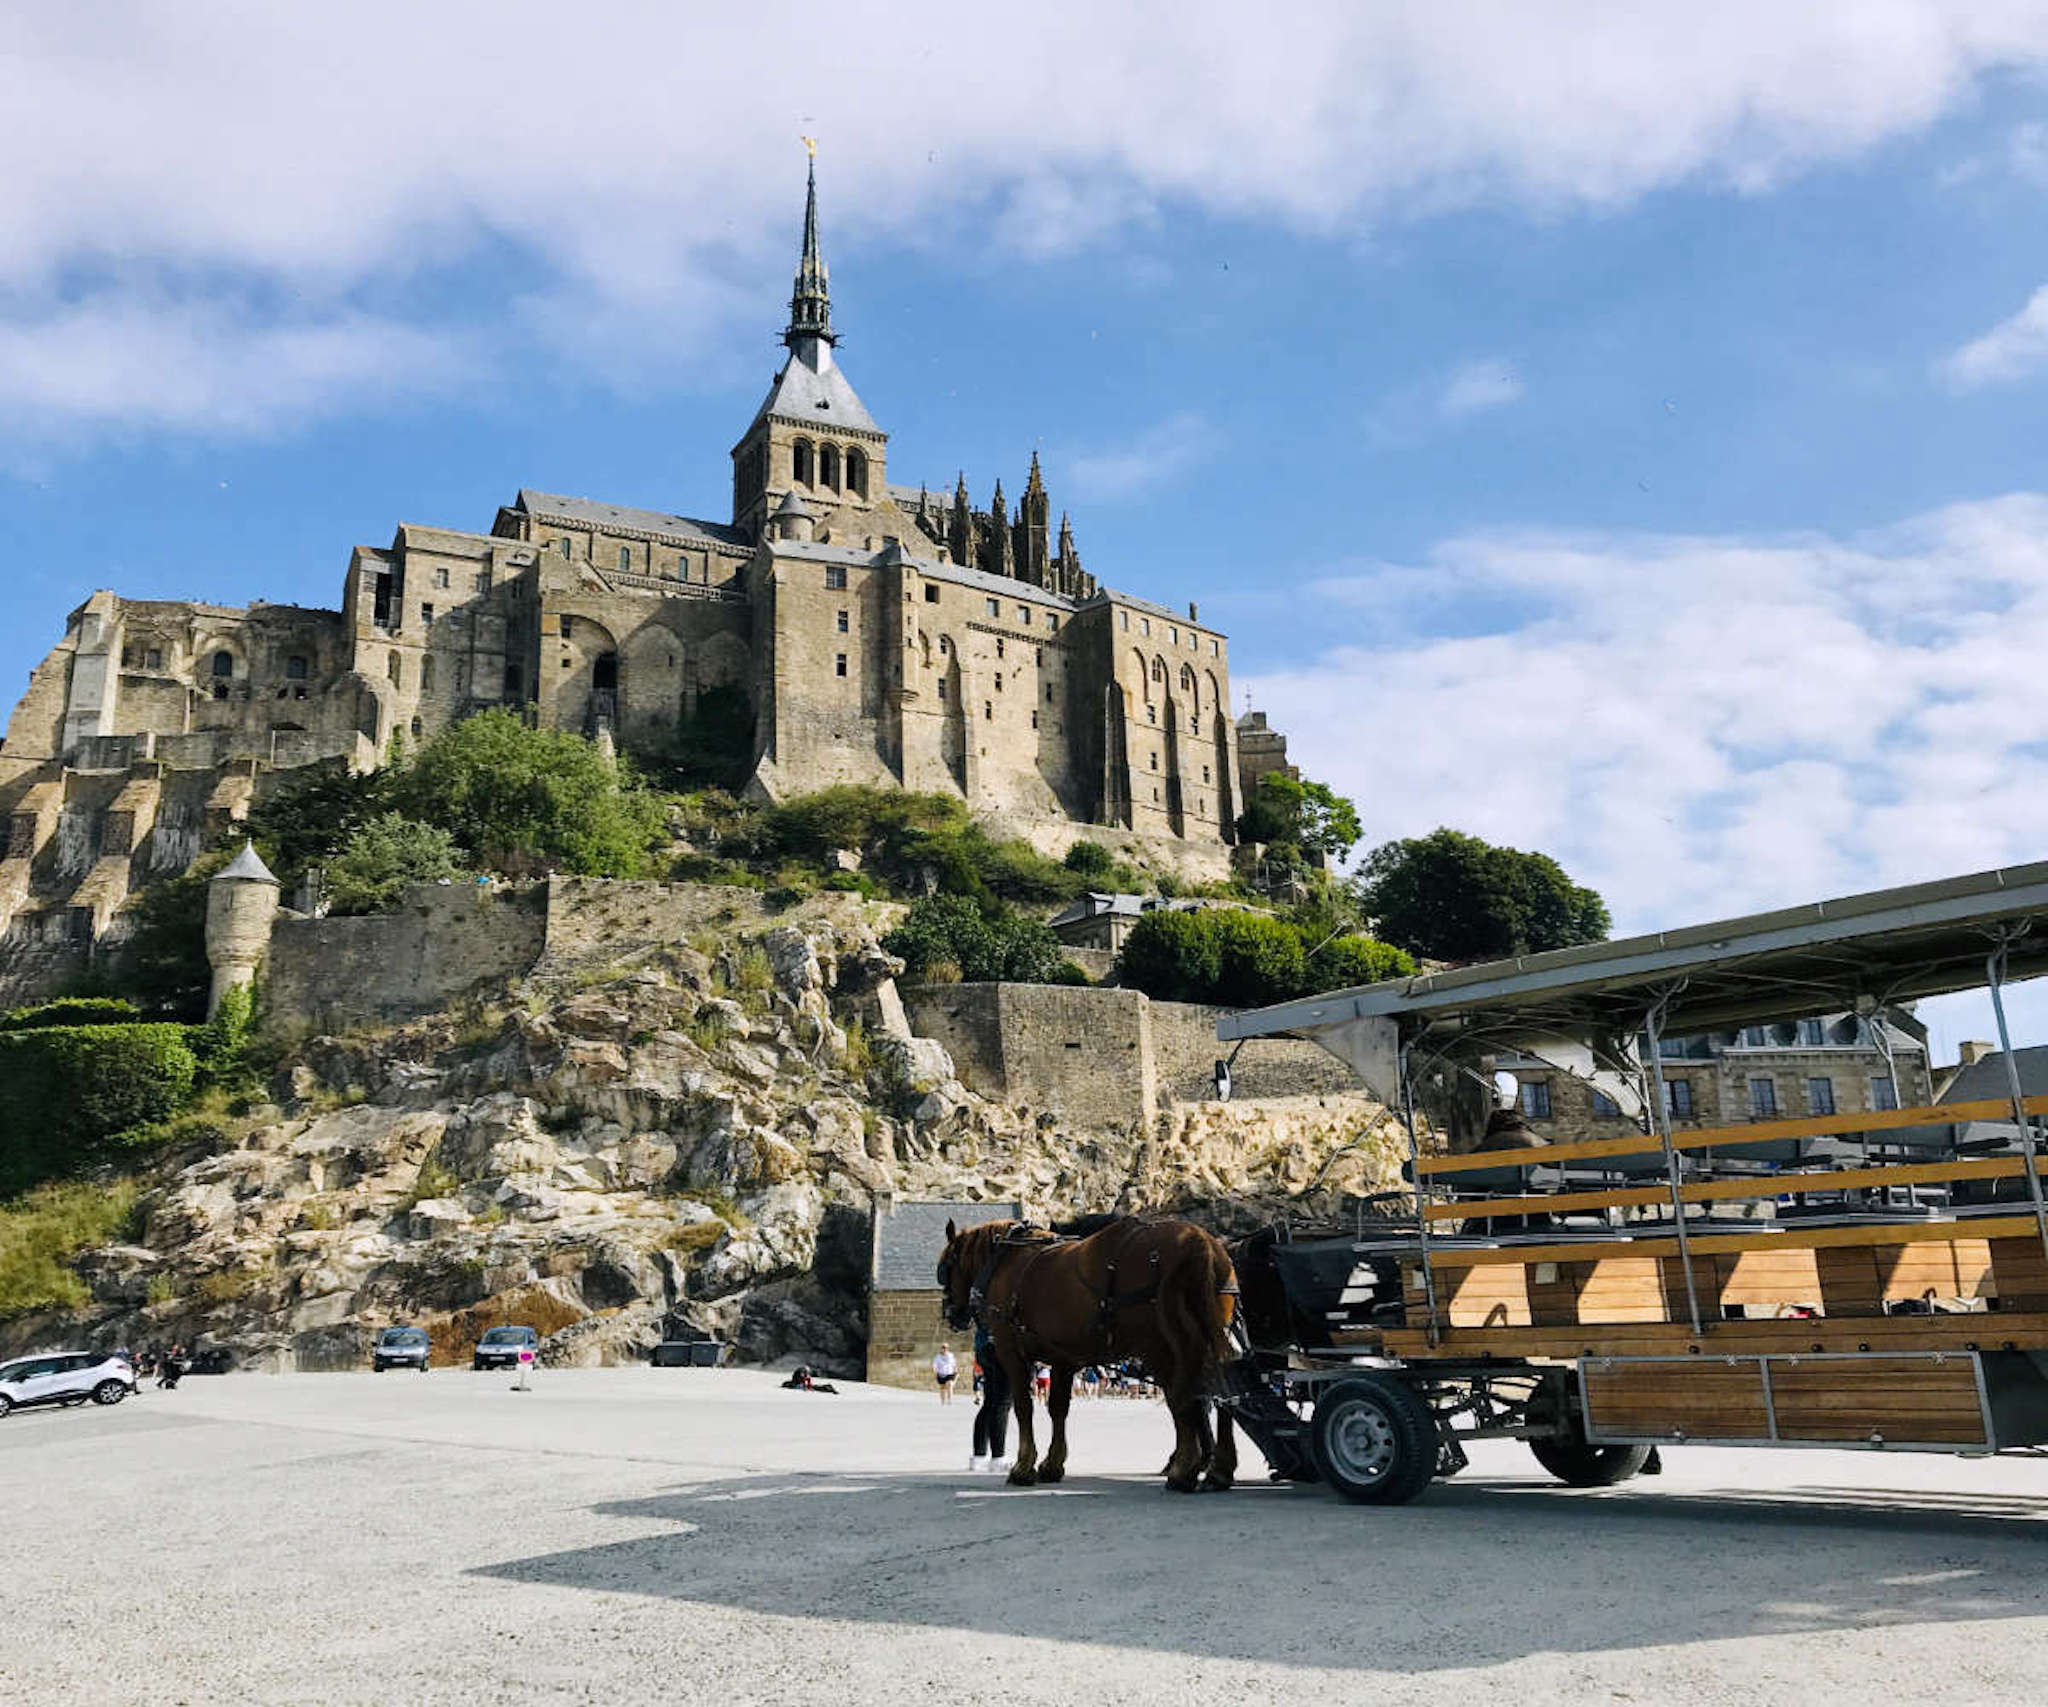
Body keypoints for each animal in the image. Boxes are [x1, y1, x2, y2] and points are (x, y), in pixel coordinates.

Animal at [937, 1213, 1236, 1491]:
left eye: (946, 1268)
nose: (951, 1314)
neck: (1007, 1259)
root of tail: (1197, 1240)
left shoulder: (1012, 1354)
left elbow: (1024, 1408)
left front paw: (1023, 1467)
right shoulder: (1062, 1360)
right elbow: (1058, 1408)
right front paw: (1052, 1464)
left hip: (1158, 1348)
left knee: (1183, 1400)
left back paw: (1184, 1470)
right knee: (1216, 1398)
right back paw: (1213, 1467)